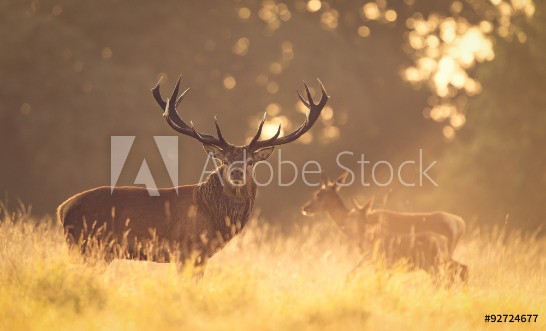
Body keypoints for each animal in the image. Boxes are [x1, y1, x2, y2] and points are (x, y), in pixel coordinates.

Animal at [58, 75, 328, 272]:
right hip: (87, 247)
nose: (237, 172)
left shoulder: (201, 255)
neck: (214, 218)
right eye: (224, 160)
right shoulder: (186, 249)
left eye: (251, 161)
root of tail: (62, 208)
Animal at [300, 171, 466, 282]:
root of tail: (460, 223)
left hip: (441, 257)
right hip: (445, 255)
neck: (350, 225)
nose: (305, 207)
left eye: (318, 193)